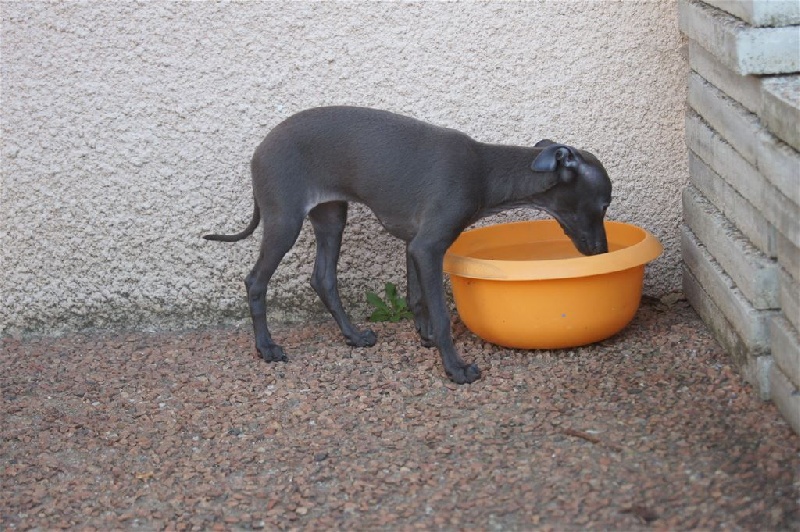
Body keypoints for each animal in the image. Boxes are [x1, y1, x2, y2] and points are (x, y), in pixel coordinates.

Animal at [204, 106, 612, 384]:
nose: (603, 253)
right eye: (606, 202)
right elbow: (442, 313)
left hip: (331, 217)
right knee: (256, 281)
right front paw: (455, 368)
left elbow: (417, 298)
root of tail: (260, 149)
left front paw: (425, 337)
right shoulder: (428, 247)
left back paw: (354, 335)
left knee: (323, 278)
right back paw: (266, 348)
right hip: (284, 220)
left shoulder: (413, 244)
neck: (485, 170)